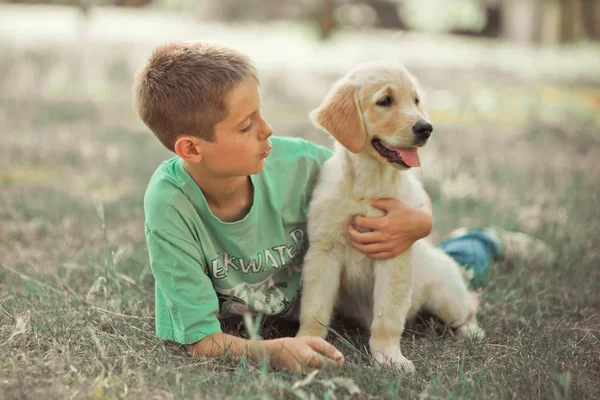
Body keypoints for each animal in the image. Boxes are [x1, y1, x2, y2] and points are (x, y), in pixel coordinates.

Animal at [298, 61, 486, 374]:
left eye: (416, 100)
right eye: (385, 101)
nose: (426, 128)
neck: (368, 184)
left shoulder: (393, 255)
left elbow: (388, 316)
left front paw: (388, 358)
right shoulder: (324, 251)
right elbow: (314, 307)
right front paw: (306, 343)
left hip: (446, 297)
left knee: (468, 307)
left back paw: (473, 332)